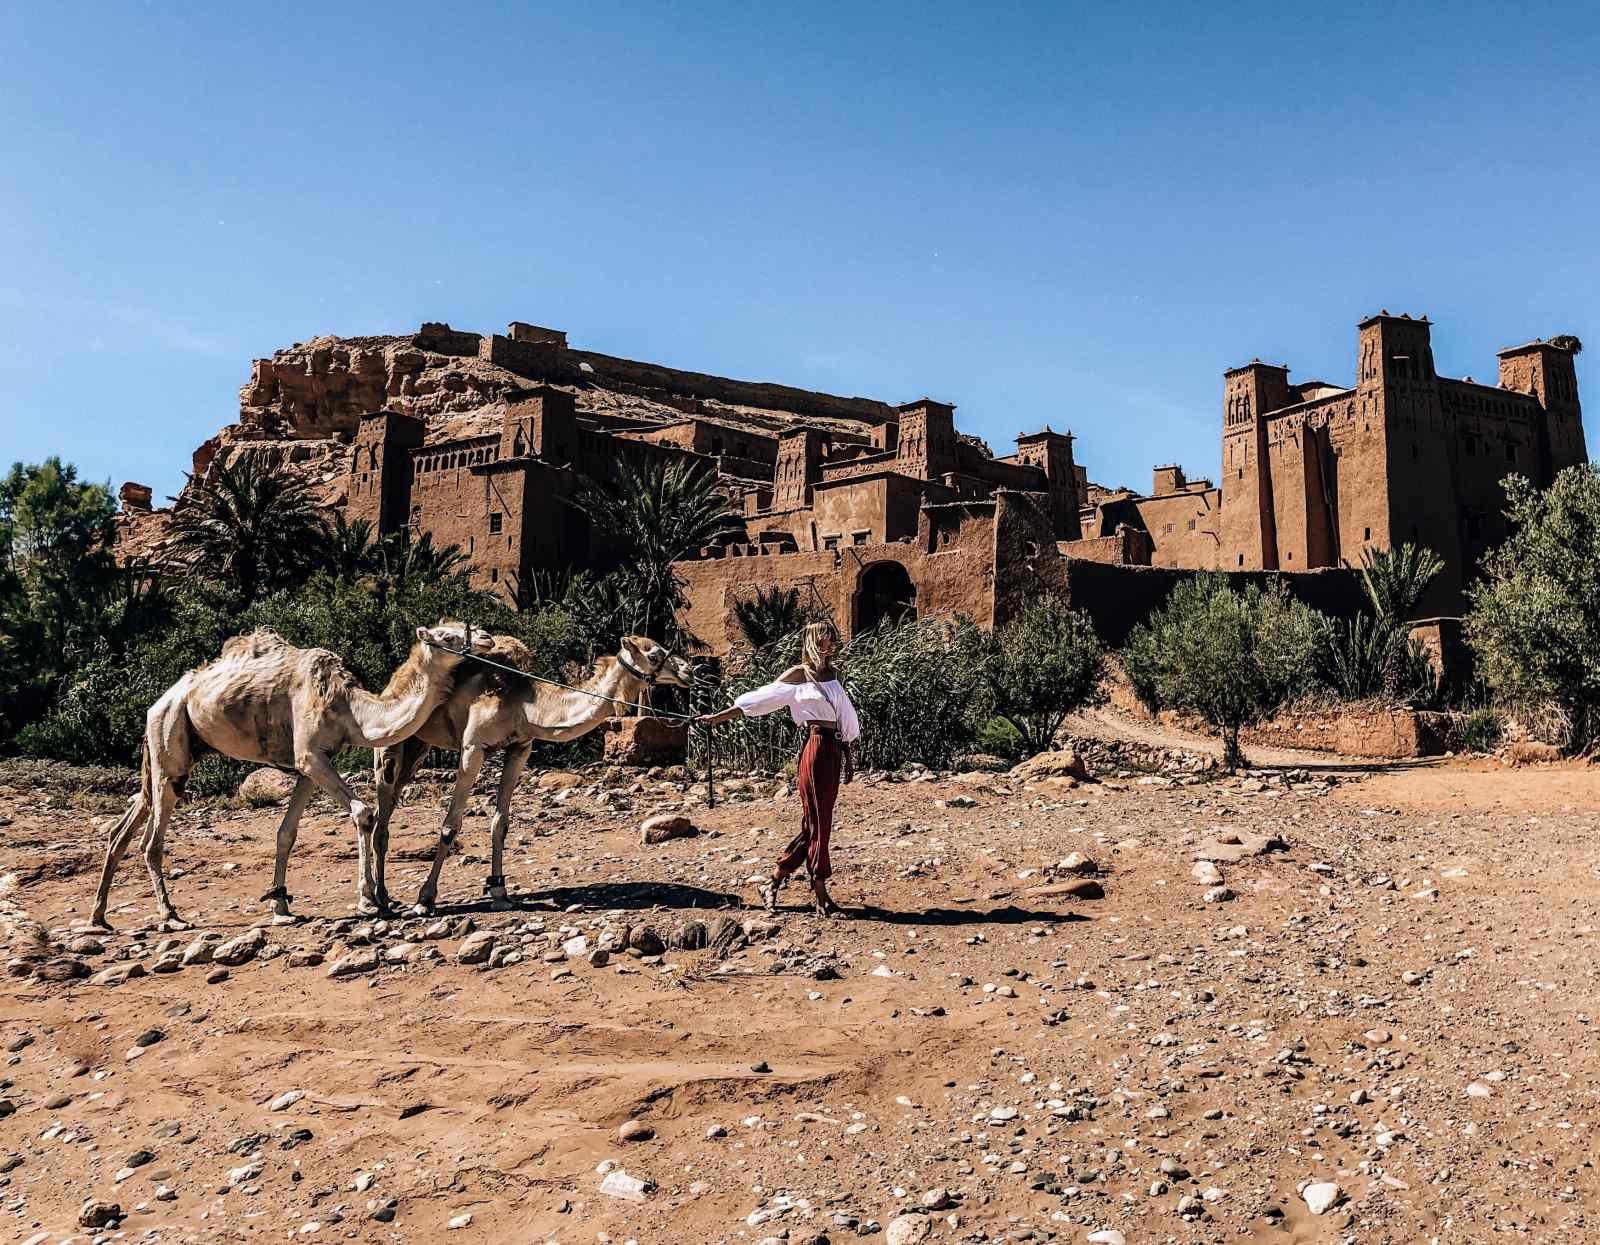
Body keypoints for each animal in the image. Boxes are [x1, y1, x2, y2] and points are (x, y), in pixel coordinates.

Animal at [86, 614, 486, 928]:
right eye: (447, 635)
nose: (485, 637)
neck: (350, 708)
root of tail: (159, 701)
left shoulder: (309, 765)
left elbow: (286, 832)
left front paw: (281, 905)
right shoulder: (310, 754)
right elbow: (363, 812)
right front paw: (369, 900)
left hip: (172, 750)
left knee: (127, 822)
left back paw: (99, 917)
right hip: (169, 739)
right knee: (151, 838)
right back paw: (169, 915)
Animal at [377, 630, 704, 908]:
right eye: (654, 654)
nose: (688, 671)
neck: (525, 704)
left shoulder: (520, 748)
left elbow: (501, 823)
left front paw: (499, 892)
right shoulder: (473, 747)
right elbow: (450, 825)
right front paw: (425, 898)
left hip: (419, 745)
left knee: (389, 806)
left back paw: (381, 896)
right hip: (395, 740)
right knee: (383, 810)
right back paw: (378, 898)